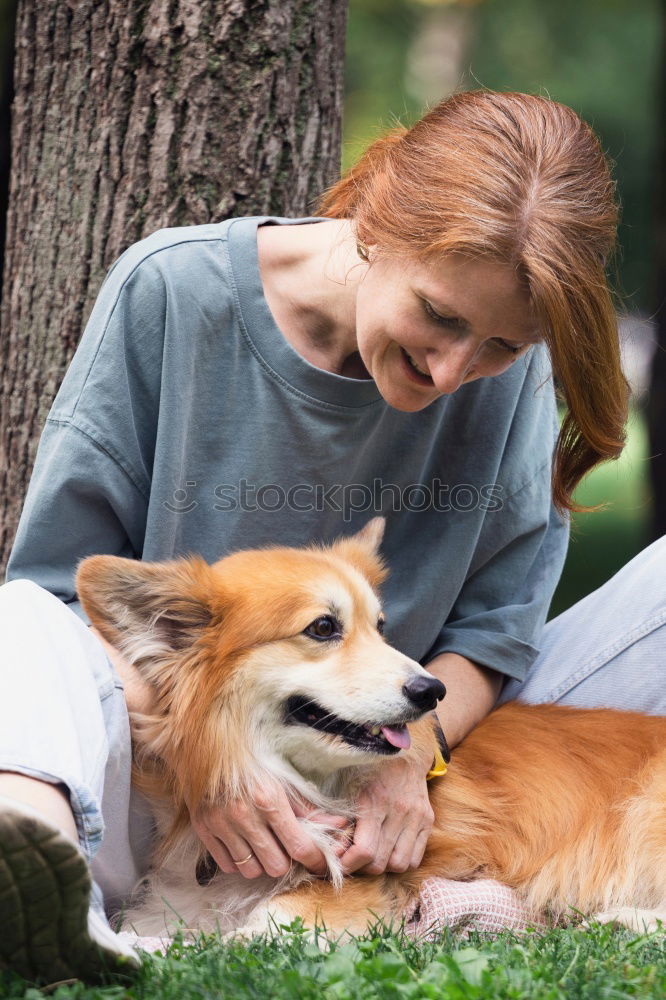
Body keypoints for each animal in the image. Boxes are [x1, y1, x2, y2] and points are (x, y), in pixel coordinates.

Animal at [78, 520, 664, 940]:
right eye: (323, 627)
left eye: (380, 628)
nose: (433, 691)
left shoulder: (366, 885)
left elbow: (258, 926)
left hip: (647, 815)